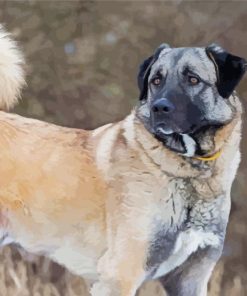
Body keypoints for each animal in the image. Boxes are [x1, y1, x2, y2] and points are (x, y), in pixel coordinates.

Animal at [0, 26, 245, 296]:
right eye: (156, 80)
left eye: (193, 79)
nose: (160, 108)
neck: (187, 173)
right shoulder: (119, 274)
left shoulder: (191, 277)